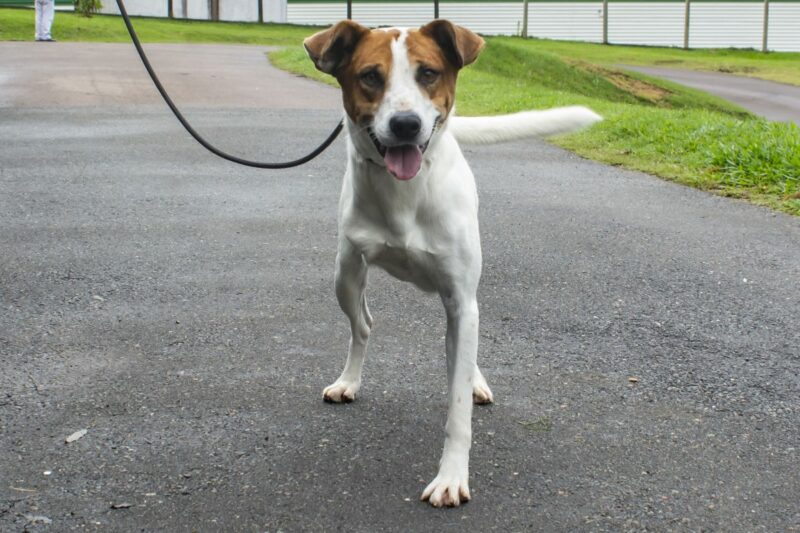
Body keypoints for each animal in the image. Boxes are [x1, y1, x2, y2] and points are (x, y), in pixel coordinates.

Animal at [304, 18, 600, 504]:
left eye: (428, 73)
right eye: (370, 76)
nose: (406, 124)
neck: (405, 194)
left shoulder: (461, 300)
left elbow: (458, 402)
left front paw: (451, 475)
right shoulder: (350, 267)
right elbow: (366, 326)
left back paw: (475, 379)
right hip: (343, 279)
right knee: (363, 325)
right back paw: (350, 379)